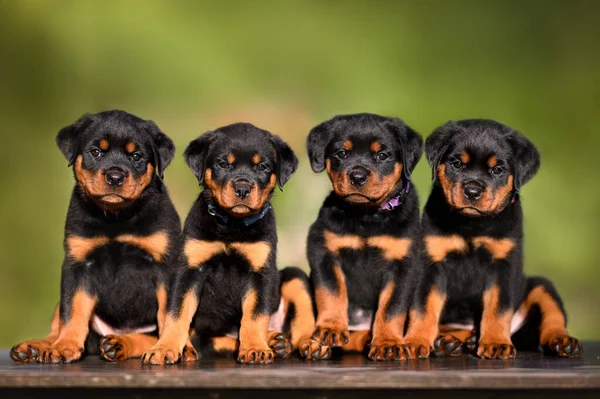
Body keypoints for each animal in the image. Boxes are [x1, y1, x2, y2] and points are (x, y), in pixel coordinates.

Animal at [9, 111, 185, 364]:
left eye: (137, 156)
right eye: (96, 152)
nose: (115, 176)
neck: (115, 218)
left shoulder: (166, 266)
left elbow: (169, 313)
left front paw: (168, 348)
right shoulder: (78, 264)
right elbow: (72, 310)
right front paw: (64, 346)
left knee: (149, 335)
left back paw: (120, 344)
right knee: (59, 320)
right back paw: (37, 346)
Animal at [141, 123, 310, 364]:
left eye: (262, 166)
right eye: (222, 163)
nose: (243, 189)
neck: (232, 225)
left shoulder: (261, 272)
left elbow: (255, 314)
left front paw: (255, 348)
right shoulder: (189, 270)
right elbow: (176, 313)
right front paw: (164, 348)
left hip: (294, 277)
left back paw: (302, 344)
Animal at [302, 113, 424, 362]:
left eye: (382, 155)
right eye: (341, 153)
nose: (357, 176)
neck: (367, 216)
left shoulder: (404, 265)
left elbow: (392, 307)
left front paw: (388, 343)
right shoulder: (322, 250)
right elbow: (331, 290)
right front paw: (329, 329)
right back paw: (317, 344)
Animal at [400, 119, 584, 360]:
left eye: (497, 169)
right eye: (457, 164)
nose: (472, 191)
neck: (472, 225)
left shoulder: (502, 265)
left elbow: (498, 308)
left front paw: (496, 343)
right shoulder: (431, 262)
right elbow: (423, 306)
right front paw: (415, 341)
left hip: (540, 285)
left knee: (552, 318)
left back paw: (562, 341)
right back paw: (452, 342)